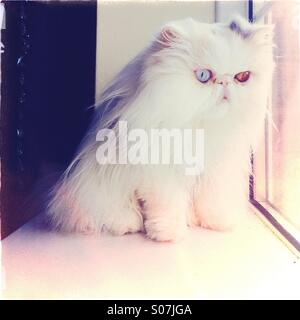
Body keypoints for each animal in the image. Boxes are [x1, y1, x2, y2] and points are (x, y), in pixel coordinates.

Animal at [47, 15, 274, 240]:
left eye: (242, 76)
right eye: (203, 75)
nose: (225, 83)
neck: (203, 127)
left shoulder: (217, 170)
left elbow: (212, 200)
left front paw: (217, 223)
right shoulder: (161, 174)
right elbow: (168, 205)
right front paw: (169, 234)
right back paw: (128, 225)